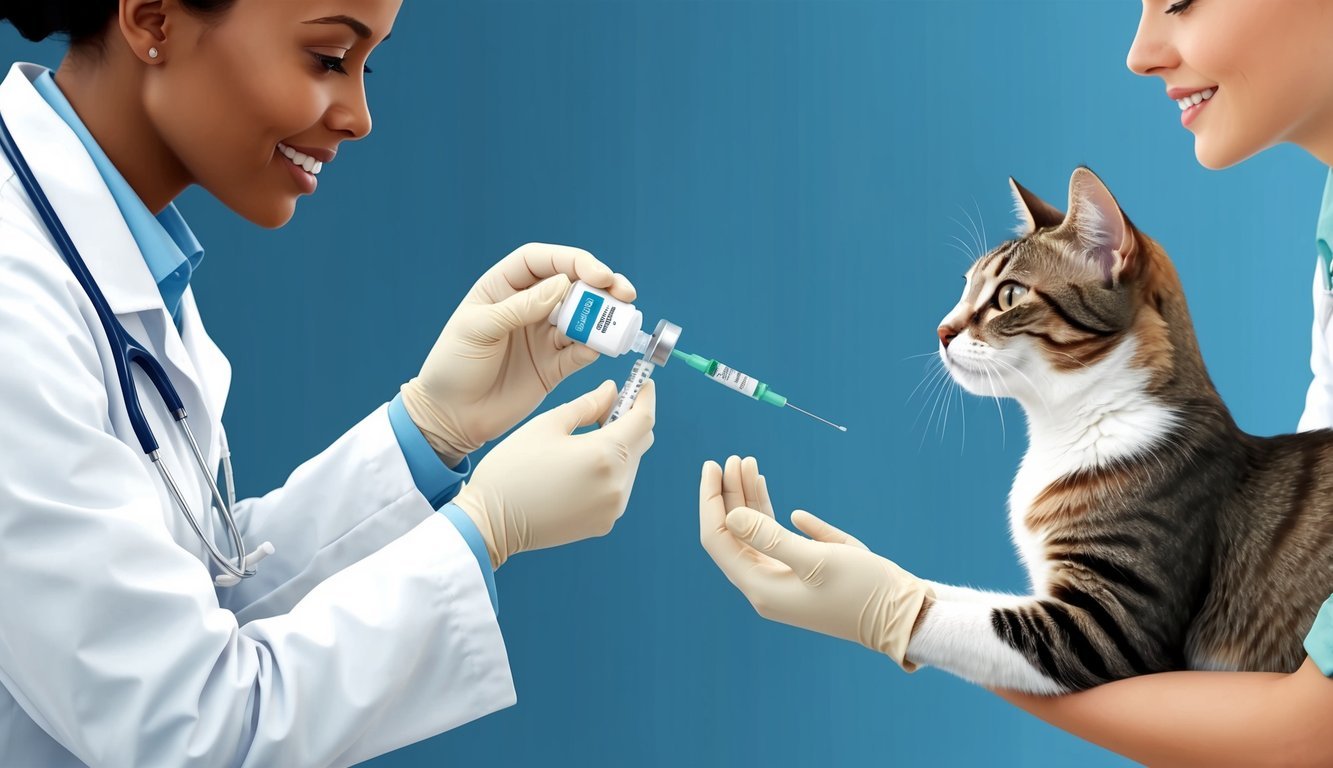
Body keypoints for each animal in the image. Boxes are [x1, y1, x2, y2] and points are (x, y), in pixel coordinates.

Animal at [906, 169, 1333, 693]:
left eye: (1009, 296)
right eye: (965, 287)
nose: (941, 331)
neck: (1058, 429)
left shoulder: (1109, 624)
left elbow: (957, 617)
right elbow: (957, 595)